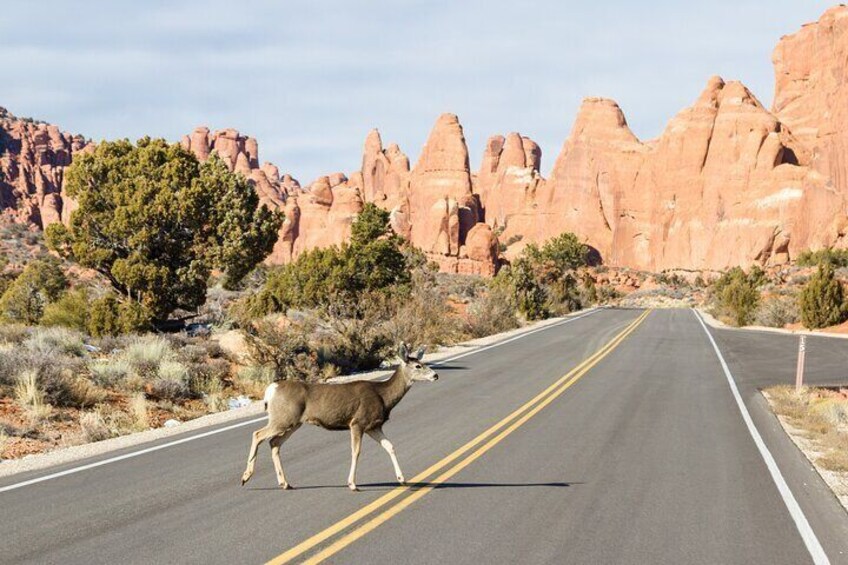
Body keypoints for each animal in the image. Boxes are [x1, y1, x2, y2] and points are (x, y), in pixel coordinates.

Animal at [238, 342, 438, 492]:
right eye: (418, 366)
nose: (435, 375)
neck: (383, 395)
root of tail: (271, 389)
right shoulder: (357, 422)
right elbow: (356, 451)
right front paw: (352, 484)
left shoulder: (373, 426)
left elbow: (390, 446)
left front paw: (402, 478)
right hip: (283, 418)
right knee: (258, 434)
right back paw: (245, 477)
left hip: (293, 422)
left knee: (274, 443)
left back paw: (284, 483)